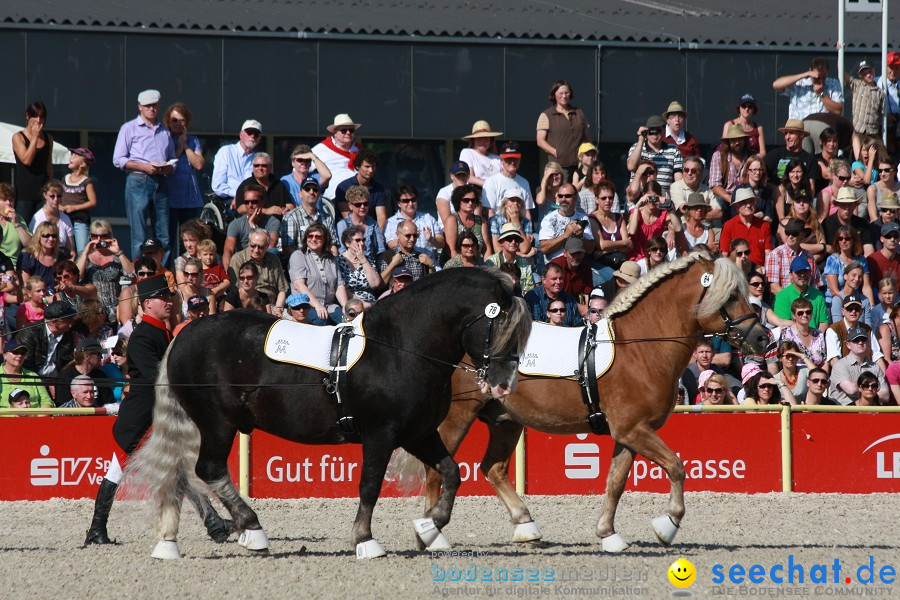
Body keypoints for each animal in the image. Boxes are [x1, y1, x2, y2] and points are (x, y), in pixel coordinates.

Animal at [124, 268, 532, 556]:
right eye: (500, 326)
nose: (504, 385)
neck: (400, 347)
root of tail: (185, 335)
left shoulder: (418, 434)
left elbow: (451, 473)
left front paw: (429, 529)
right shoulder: (381, 434)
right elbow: (369, 485)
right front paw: (366, 541)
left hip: (201, 425)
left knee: (181, 473)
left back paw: (171, 542)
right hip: (217, 423)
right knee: (207, 468)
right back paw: (251, 529)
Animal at [400, 253, 768, 552]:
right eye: (731, 295)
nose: (762, 337)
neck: (640, 347)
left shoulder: (630, 433)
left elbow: (616, 482)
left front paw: (609, 535)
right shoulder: (634, 430)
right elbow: (676, 467)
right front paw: (668, 525)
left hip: (506, 421)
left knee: (492, 468)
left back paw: (526, 526)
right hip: (457, 416)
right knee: (436, 470)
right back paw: (432, 535)